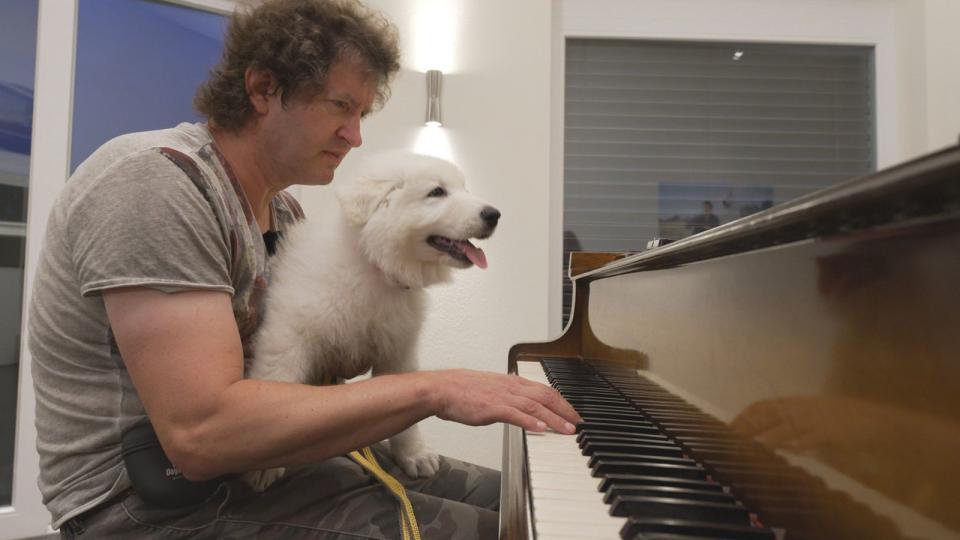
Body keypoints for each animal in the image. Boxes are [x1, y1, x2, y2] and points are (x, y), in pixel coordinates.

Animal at [244, 151, 498, 490]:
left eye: (464, 189)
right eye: (437, 192)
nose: (494, 214)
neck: (374, 268)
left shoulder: (398, 350)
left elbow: (407, 412)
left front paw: (414, 455)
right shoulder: (288, 336)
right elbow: (278, 384)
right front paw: (263, 467)